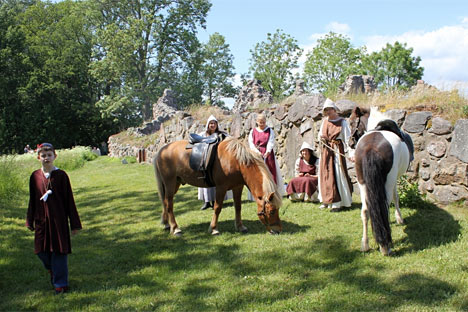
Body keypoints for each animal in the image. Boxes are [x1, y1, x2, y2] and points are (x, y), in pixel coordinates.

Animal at [154, 138, 282, 235]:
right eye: (271, 211)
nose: (278, 230)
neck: (237, 161)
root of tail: (162, 150)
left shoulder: (237, 187)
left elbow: (238, 207)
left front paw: (240, 226)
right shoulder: (221, 187)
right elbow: (217, 207)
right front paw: (214, 228)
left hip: (175, 183)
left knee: (165, 202)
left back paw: (167, 224)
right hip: (170, 183)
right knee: (169, 204)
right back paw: (175, 228)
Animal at [348, 107, 414, 256]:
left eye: (351, 122)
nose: (350, 143)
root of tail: (371, 147)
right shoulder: (394, 179)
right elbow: (396, 197)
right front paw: (399, 218)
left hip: (362, 183)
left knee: (365, 211)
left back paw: (365, 244)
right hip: (388, 182)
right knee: (384, 206)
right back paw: (385, 246)